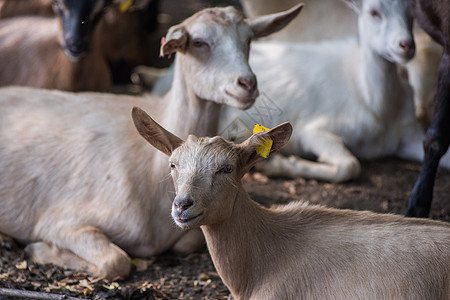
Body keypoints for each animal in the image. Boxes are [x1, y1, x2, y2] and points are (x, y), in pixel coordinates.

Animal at [0, 4, 302, 280]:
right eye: (199, 42)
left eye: (249, 39)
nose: (247, 84)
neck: (149, 170)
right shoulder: (61, 220)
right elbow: (116, 261)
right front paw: (38, 249)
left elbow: (188, 240)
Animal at [219, 0, 450, 183]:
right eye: (374, 12)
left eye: (411, 13)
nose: (406, 46)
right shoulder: (313, 130)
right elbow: (350, 165)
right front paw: (277, 165)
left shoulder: (410, 135)